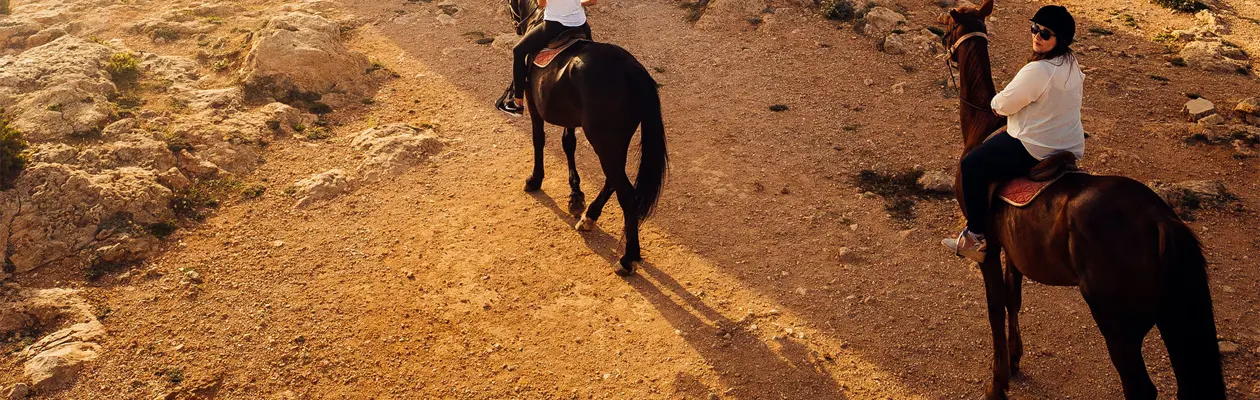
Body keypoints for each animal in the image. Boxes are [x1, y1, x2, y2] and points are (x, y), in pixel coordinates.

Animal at [507, 0, 668, 275]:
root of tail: (632, 71)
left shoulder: (532, 101)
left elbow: (538, 139)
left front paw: (535, 179)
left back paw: (628, 258)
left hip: (604, 140)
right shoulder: (570, 117)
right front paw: (575, 196)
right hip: (616, 140)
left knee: (626, 192)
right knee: (613, 179)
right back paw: (590, 216)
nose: (516, 24)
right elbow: (568, 144)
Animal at [938, 1, 1225, 398]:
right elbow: (1013, 298)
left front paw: (998, 382)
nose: (939, 36)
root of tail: (1161, 221)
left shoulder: (991, 247)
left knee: (1140, 387)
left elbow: (995, 306)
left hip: (1118, 324)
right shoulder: (1014, 248)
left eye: (948, 24)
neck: (981, 128)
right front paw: (1015, 360)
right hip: (1174, 316)